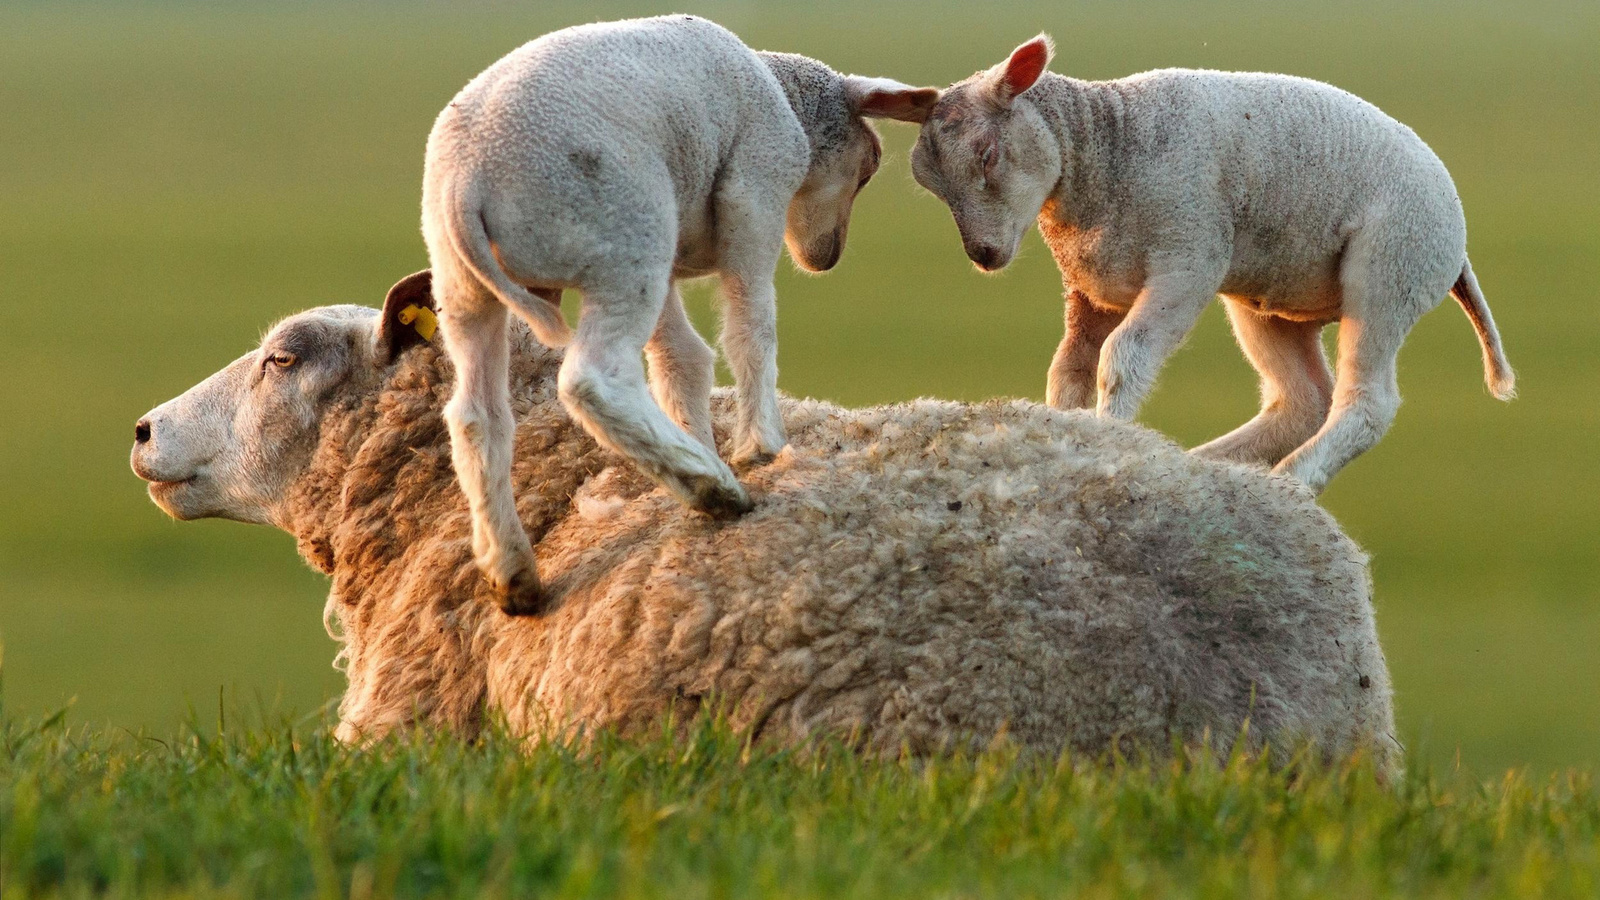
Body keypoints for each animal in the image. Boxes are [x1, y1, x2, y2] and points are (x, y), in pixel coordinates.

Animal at [425, 14, 934, 611]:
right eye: (870, 165)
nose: (824, 258)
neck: (786, 95)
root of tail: (466, 185)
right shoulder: (754, 188)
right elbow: (751, 327)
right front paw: (762, 446)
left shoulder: (673, 261)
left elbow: (680, 359)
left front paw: (699, 435)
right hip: (625, 236)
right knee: (592, 380)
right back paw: (712, 487)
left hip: (464, 286)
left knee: (476, 415)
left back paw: (513, 570)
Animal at [870, 36, 1516, 490]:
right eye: (928, 183)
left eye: (987, 155)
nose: (983, 256)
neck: (1109, 150)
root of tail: (1458, 241)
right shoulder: (1090, 289)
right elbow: (1069, 372)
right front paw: (1073, 439)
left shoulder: (1188, 262)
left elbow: (1122, 359)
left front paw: (1113, 439)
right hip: (1271, 300)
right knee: (1303, 400)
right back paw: (1209, 466)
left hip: (1392, 266)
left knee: (1366, 403)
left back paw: (1293, 482)